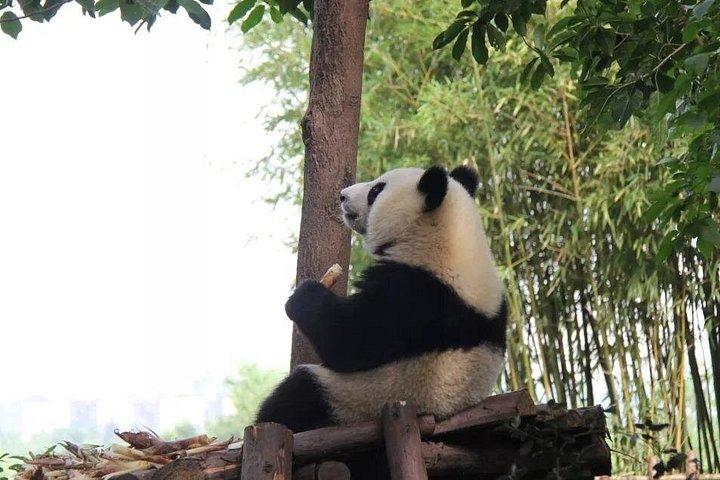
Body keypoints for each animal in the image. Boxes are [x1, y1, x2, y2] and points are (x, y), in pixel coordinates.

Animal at [256, 165, 507, 433]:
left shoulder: (416, 296)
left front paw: (303, 296)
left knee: (300, 394)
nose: (342, 196)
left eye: (376, 191)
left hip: (360, 398)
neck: (450, 237)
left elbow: (349, 341)